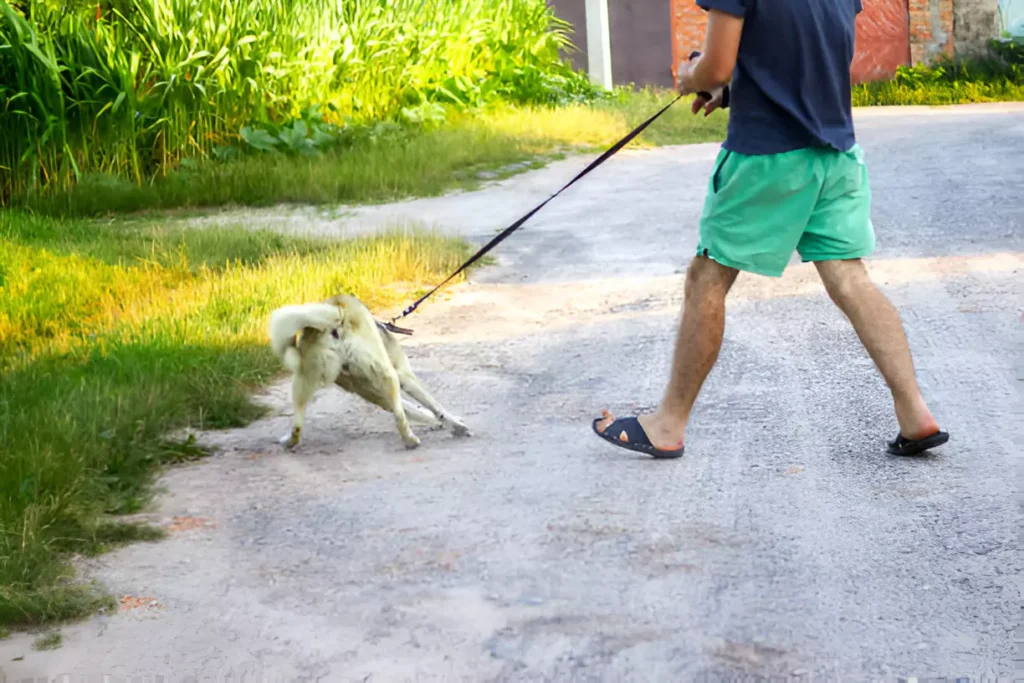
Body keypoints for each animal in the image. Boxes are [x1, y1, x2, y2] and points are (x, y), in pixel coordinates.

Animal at [266, 292, 468, 448]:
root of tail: (337, 314)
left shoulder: (372, 393)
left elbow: (416, 409)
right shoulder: (403, 375)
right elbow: (436, 408)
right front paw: (457, 424)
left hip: (305, 378)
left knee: (297, 424)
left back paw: (288, 441)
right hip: (387, 374)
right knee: (399, 416)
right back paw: (410, 441)